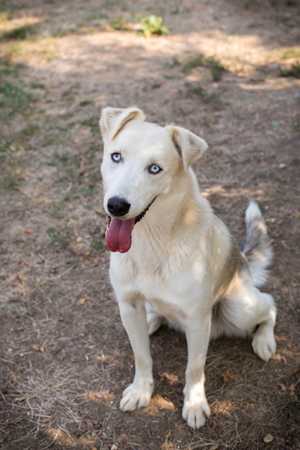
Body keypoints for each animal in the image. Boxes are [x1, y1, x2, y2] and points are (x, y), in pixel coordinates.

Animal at [100, 107, 276, 430]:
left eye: (154, 169)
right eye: (116, 156)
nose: (116, 205)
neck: (152, 242)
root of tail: (243, 263)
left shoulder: (197, 321)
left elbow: (194, 369)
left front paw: (194, 405)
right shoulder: (128, 305)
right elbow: (142, 356)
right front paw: (141, 390)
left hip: (239, 309)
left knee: (269, 304)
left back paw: (264, 340)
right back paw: (153, 319)